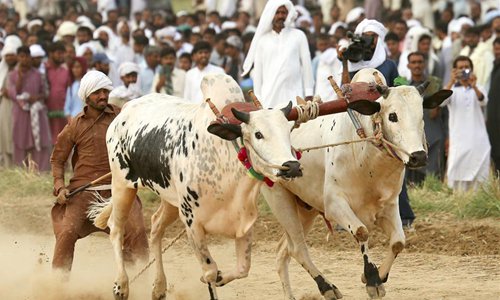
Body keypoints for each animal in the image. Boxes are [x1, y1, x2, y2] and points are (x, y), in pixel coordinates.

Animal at [89, 73, 300, 300]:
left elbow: (242, 268)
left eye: (288, 131)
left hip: (169, 200)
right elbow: (209, 272)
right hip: (122, 185)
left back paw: (159, 286)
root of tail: (125, 109)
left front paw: (221, 278)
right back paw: (121, 285)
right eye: (258, 134)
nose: (292, 166)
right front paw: (212, 279)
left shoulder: (243, 222)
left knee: (155, 227)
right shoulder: (192, 223)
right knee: (116, 229)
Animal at [262, 68, 454, 300]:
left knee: (284, 250)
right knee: (297, 248)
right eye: (392, 116)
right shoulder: (334, 205)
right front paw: (372, 279)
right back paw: (327, 287)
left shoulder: (389, 206)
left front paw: (378, 276)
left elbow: (398, 242)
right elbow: (362, 232)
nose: (418, 157)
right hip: (280, 200)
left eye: (421, 115)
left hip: (305, 208)